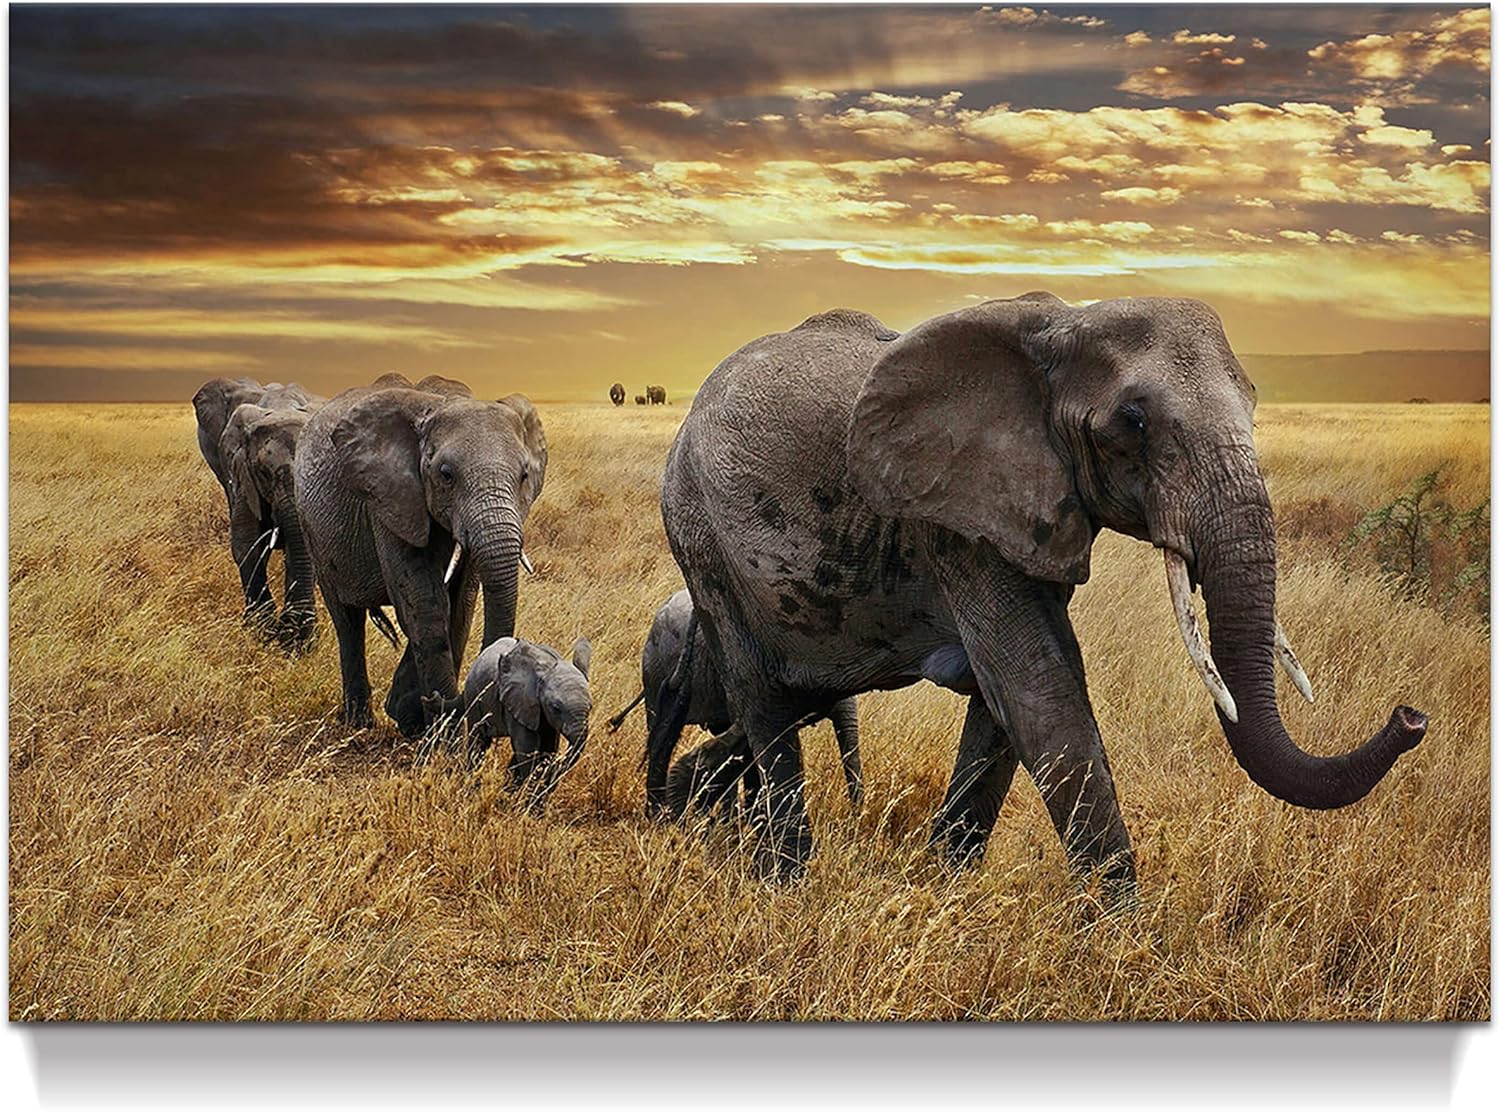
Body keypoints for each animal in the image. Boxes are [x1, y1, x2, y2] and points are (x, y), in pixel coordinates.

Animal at [294, 372, 547, 736]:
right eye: (446, 475)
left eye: (524, 475)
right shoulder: (388, 497)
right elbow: (424, 602)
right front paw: (441, 735)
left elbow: (461, 604)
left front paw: (412, 716)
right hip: (311, 529)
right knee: (347, 621)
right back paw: (359, 723)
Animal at [426, 636, 593, 811]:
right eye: (556, 708)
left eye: (590, 707)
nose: (554, 771)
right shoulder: (519, 701)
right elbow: (527, 748)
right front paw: (530, 808)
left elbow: (547, 748)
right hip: (474, 697)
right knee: (479, 742)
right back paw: (472, 789)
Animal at [649, 297, 1427, 896]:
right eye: (1133, 421)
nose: (1411, 716)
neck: (1065, 323)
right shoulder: (957, 520)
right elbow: (1039, 685)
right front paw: (1124, 941)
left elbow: (1009, 702)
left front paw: (946, 888)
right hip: (702, 542)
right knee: (764, 705)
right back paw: (783, 882)